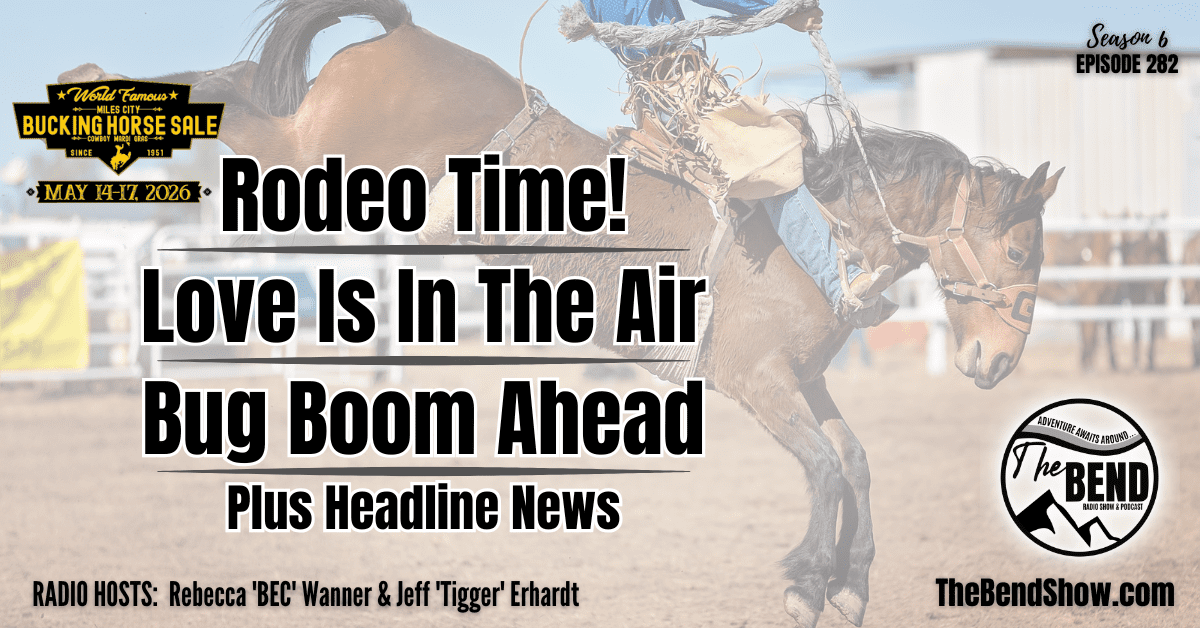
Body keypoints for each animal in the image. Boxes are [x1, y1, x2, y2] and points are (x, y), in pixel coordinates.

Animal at [60, 1, 1062, 625]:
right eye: (1021, 252)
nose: (998, 364)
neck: (821, 233)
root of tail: (408, 34)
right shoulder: (758, 381)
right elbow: (823, 468)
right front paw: (808, 581)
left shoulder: (803, 381)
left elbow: (852, 461)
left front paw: (849, 588)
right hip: (309, 145)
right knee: (233, 104)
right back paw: (92, 76)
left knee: (235, 83)